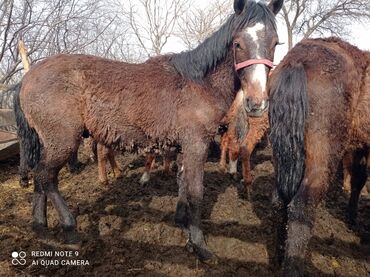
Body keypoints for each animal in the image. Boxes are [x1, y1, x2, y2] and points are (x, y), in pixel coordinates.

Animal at [13, 0, 282, 260]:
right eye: (238, 43)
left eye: (275, 43)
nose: (257, 103)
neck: (199, 83)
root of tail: (28, 77)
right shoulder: (197, 145)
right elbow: (196, 192)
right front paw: (199, 244)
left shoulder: (184, 147)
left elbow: (183, 184)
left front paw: (183, 224)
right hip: (64, 141)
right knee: (46, 176)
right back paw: (69, 229)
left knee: (40, 175)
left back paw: (40, 227)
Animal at [268, 37, 370, 276]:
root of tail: (299, 59)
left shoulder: (360, 148)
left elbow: (358, 180)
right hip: (323, 159)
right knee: (302, 207)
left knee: (279, 201)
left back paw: (278, 259)